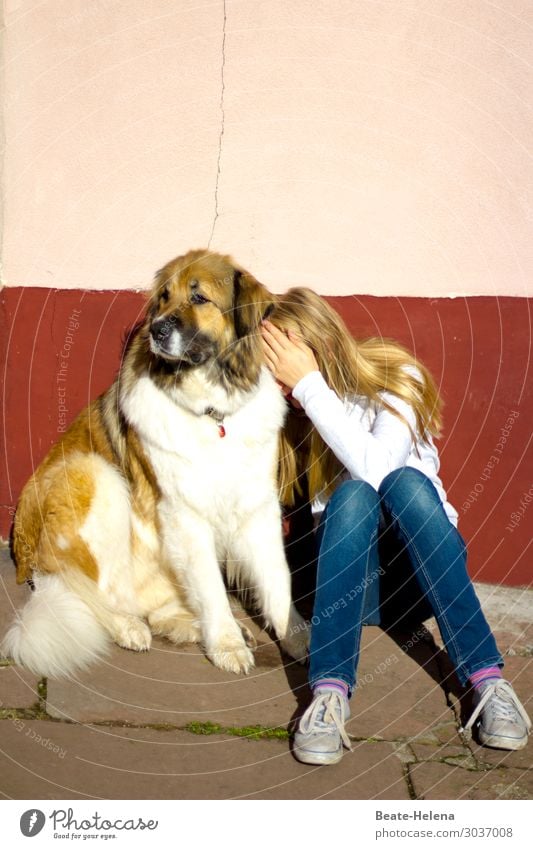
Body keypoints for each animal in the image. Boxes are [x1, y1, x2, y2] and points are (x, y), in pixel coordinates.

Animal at [3, 247, 308, 676]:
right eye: (164, 297)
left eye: (199, 297)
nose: (158, 330)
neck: (213, 410)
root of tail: (24, 555)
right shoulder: (184, 515)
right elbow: (212, 588)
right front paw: (227, 644)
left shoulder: (257, 506)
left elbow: (278, 581)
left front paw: (300, 639)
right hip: (96, 475)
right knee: (98, 594)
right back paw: (129, 626)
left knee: (158, 609)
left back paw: (191, 624)